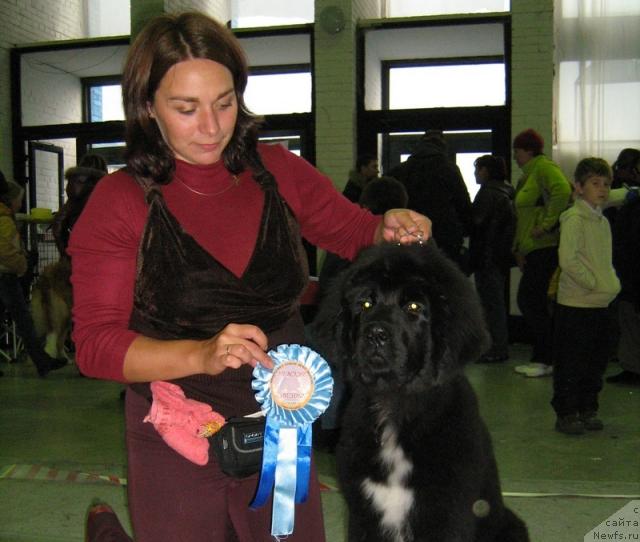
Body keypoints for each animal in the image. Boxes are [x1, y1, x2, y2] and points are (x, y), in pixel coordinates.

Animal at [312, 244, 528, 540]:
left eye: (413, 307)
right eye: (366, 304)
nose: (375, 334)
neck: (396, 404)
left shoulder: (444, 512)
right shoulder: (363, 513)